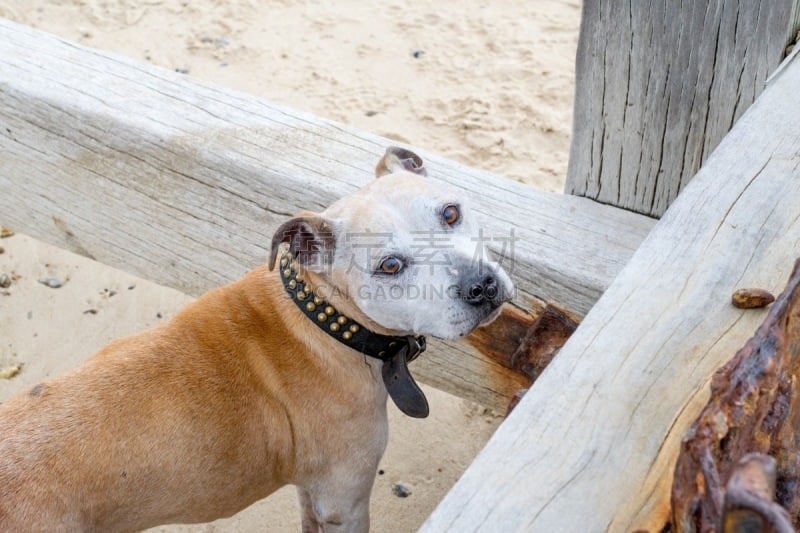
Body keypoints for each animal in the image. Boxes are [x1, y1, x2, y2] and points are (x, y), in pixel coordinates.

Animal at [0, 147, 512, 532]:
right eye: (390, 266)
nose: (481, 285)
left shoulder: (312, 493)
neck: (322, 320)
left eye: (451, 213)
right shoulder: (344, 501)